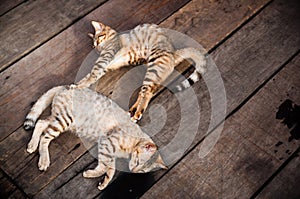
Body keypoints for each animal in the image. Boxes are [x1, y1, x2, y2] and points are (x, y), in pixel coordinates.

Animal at [24, 85, 166, 190]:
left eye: (141, 171)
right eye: (137, 162)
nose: (133, 170)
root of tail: (66, 87)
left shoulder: (110, 151)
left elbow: (110, 169)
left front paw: (104, 183)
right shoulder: (107, 143)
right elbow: (104, 167)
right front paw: (91, 174)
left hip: (57, 119)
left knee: (40, 123)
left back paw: (32, 145)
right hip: (64, 120)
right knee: (45, 136)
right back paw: (43, 160)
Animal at [72, 21, 206, 122]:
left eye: (99, 37)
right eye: (94, 46)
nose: (97, 48)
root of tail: (174, 54)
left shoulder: (105, 58)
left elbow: (92, 74)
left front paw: (78, 86)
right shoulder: (106, 65)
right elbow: (88, 77)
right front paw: (76, 85)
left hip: (153, 68)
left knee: (146, 93)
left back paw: (137, 114)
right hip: (152, 74)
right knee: (147, 92)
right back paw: (133, 110)